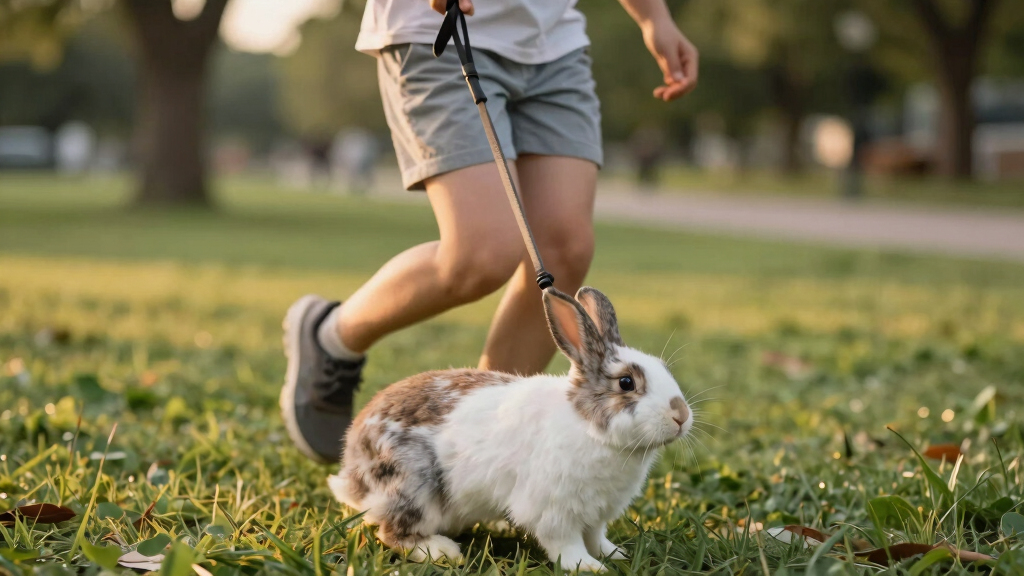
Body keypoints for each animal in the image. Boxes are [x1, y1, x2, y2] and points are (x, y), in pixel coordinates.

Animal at [328, 286, 692, 572]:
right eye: (626, 383)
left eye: (664, 369)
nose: (681, 415)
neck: (587, 426)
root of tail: (352, 469)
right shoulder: (553, 509)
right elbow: (566, 543)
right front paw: (588, 567)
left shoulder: (596, 512)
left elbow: (595, 536)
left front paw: (614, 555)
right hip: (413, 486)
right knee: (391, 532)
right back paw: (442, 550)